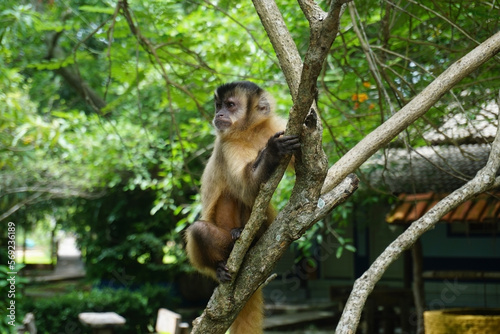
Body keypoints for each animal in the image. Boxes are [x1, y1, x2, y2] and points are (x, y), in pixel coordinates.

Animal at [185, 81, 298, 334]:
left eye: (230, 105)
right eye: (218, 105)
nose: (219, 114)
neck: (250, 132)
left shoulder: (275, 126)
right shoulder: (227, 144)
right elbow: (247, 186)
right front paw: (273, 152)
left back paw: (252, 235)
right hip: (223, 239)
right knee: (204, 225)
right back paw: (222, 262)